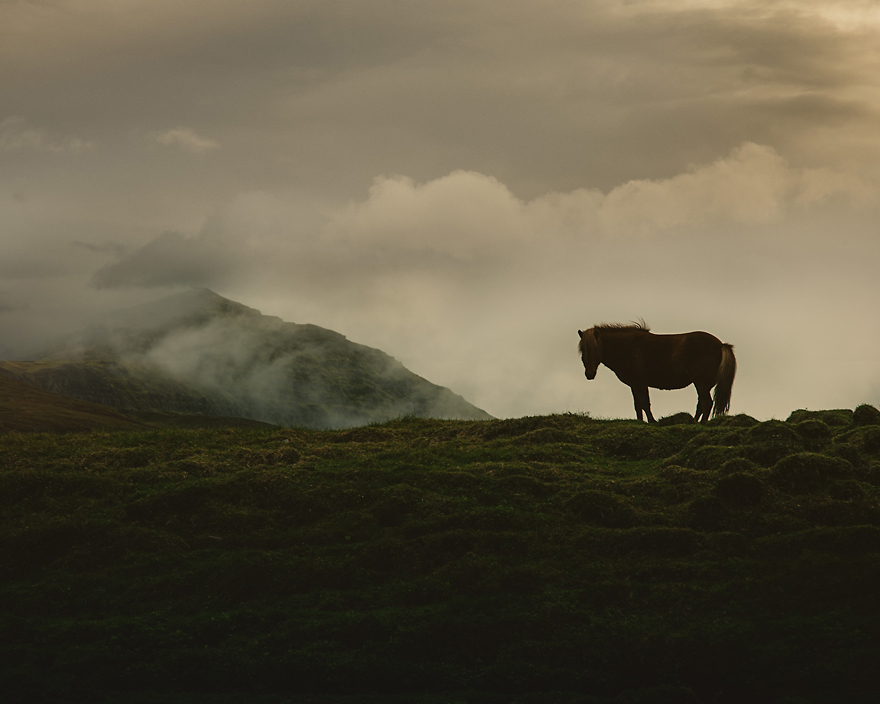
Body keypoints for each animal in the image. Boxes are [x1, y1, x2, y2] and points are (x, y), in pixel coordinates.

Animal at [577, 321, 736, 423]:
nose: (589, 374)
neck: (628, 347)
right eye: (582, 350)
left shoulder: (641, 383)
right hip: (703, 385)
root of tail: (721, 345)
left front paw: (652, 421)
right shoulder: (634, 385)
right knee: (701, 405)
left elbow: (645, 403)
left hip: (701, 383)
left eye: (595, 348)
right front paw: (640, 422)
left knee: (707, 403)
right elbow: (637, 405)